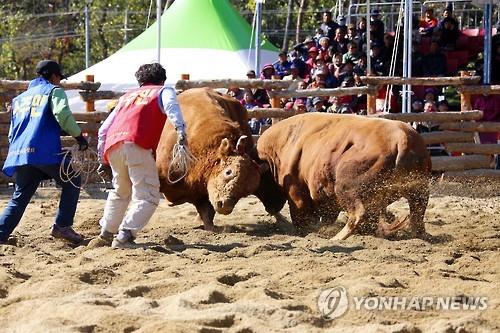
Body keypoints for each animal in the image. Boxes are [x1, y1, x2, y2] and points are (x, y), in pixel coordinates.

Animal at [256, 113, 432, 239]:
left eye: (262, 182)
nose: (271, 207)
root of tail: (401, 137)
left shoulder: (297, 193)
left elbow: (302, 217)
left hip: (346, 188)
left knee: (358, 213)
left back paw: (337, 237)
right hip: (420, 191)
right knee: (417, 215)